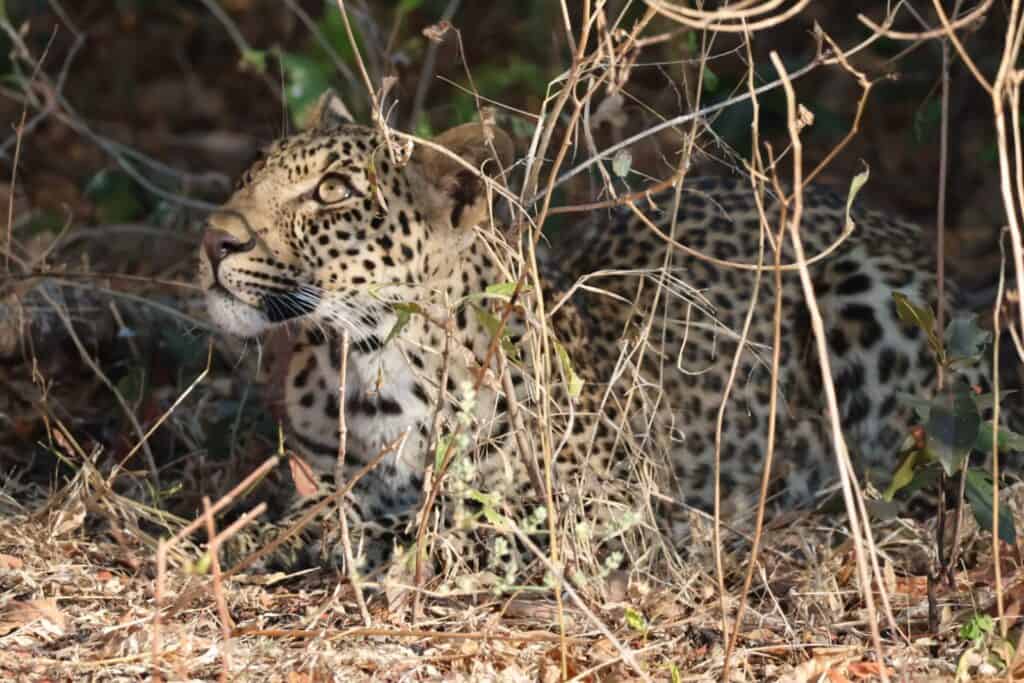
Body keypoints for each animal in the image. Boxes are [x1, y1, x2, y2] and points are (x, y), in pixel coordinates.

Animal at [198, 91, 1021, 578]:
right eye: (250, 173)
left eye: (333, 193)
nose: (214, 239)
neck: (370, 372)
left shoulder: (602, 516)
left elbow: (467, 529)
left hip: (873, 307)